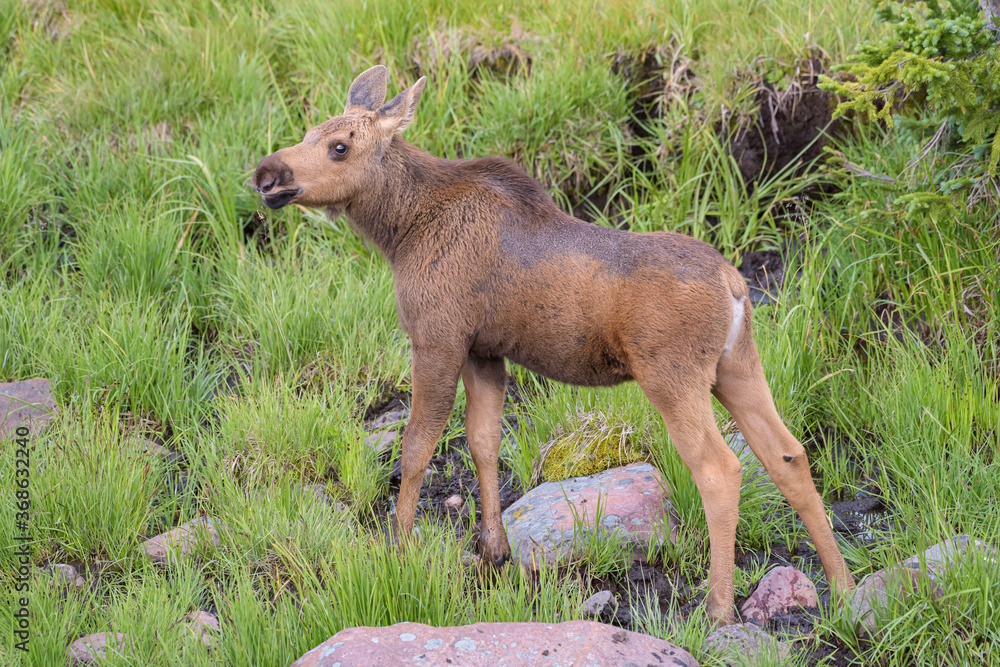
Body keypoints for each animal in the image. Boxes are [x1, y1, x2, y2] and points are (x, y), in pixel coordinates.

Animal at [251, 65, 855, 624]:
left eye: (340, 147)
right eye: (309, 131)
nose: (267, 174)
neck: (398, 232)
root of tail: (734, 284)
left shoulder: (438, 336)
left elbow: (417, 447)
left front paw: (397, 550)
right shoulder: (485, 350)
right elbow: (483, 441)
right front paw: (492, 550)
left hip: (673, 375)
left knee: (720, 470)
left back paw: (719, 609)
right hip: (737, 364)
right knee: (788, 454)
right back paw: (843, 588)